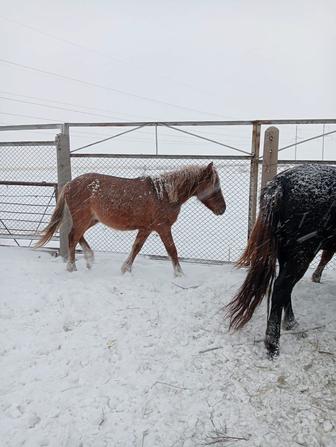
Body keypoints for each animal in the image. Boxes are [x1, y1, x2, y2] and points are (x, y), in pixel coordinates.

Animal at [35, 164, 226, 274]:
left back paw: (89, 259)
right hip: (83, 218)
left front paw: (125, 269)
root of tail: (70, 184)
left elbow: (136, 248)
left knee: (77, 236)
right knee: (72, 237)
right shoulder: (162, 227)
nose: (223, 209)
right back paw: (72, 267)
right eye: (215, 187)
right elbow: (172, 251)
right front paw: (180, 274)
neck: (163, 194)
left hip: (91, 220)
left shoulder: (146, 228)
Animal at [226, 166, 336, 358]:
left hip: (285, 252)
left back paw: (290, 323)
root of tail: (280, 184)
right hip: (302, 252)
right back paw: (273, 344)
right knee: (281, 287)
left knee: (285, 288)